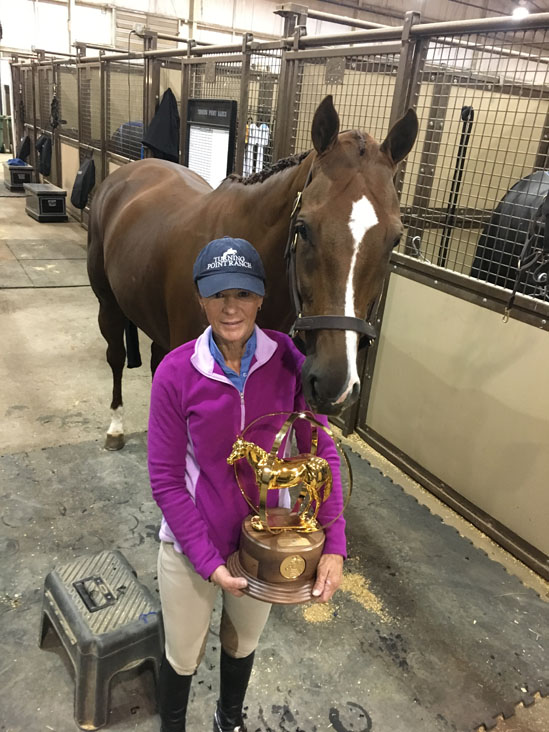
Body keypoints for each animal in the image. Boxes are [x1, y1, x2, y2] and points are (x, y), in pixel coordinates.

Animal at [88, 94, 418, 448]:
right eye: (303, 228)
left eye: (394, 239)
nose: (335, 384)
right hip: (108, 306)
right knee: (116, 356)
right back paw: (115, 428)